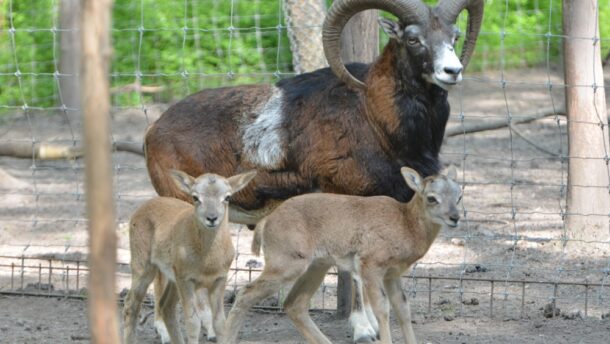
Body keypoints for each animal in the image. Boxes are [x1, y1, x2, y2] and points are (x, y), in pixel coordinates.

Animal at [122, 170, 255, 344]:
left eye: (227, 197)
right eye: (195, 197)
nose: (211, 218)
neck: (207, 262)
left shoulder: (220, 279)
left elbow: (220, 322)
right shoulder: (186, 280)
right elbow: (193, 322)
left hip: (172, 277)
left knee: (166, 306)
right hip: (142, 265)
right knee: (131, 304)